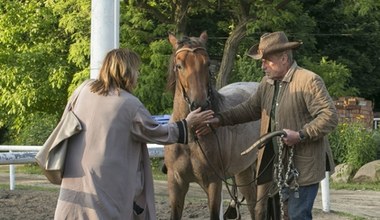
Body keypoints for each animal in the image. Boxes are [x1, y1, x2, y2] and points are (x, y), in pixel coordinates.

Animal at [165, 30, 262, 218]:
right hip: (243, 172)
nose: (200, 105)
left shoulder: (213, 182)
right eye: (179, 65)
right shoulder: (176, 184)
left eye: (207, 63)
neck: (191, 136)